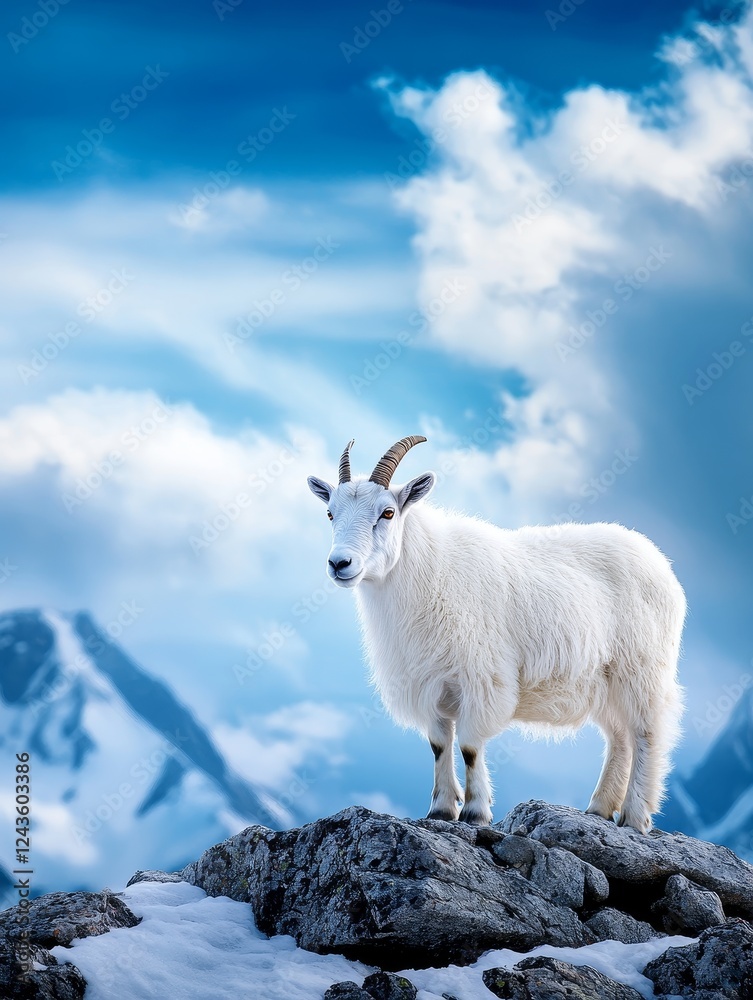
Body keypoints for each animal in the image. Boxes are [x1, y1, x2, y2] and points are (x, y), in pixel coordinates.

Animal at [308, 436, 685, 832]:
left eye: (388, 513)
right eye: (330, 513)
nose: (339, 563)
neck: (428, 571)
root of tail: (659, 562)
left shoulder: (482, 678)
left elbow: (470, 746)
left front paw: (475, 812)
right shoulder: (430, 682)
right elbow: (439, 745)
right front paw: (441, 809)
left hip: (641, 668)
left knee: (646, 733)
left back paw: (634, 816)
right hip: (604, 679)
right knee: (620, 737)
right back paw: (599, 808)